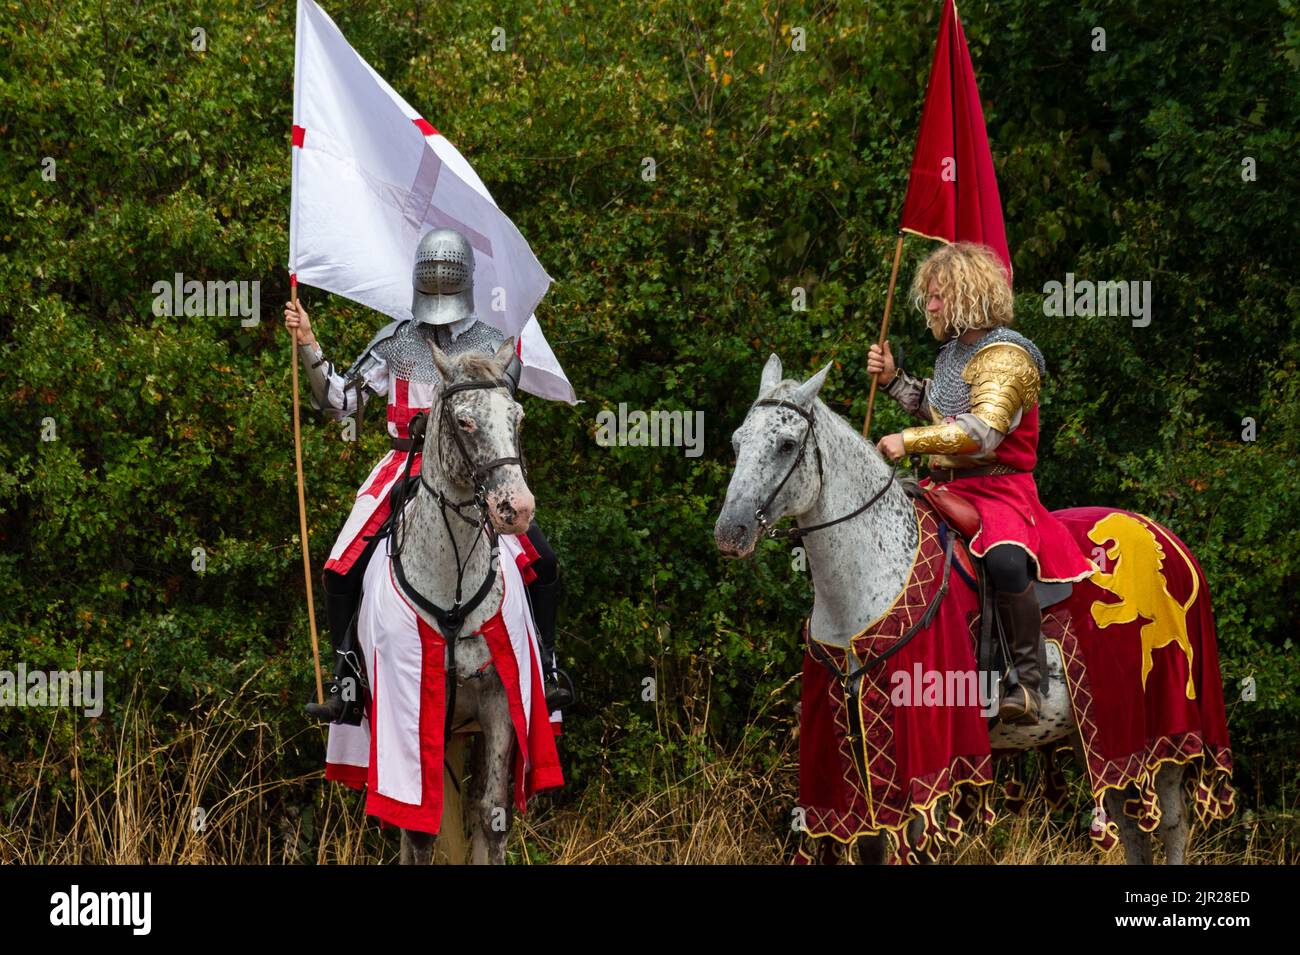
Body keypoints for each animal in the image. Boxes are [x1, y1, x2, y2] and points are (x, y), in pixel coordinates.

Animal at [379, 337, 533, 867]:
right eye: (464, 422)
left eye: (517, 418)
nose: (516, 509)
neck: (452, 595)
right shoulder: (410, 713)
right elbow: (419, 830)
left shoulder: (499, 701)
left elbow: (493, 814)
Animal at [712, 353, 1190, 867]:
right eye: (738, 442)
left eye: (786, 444)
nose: (731, 531)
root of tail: (1165, 537)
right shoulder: (855, 757)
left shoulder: (929, 757)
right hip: (1099, 737)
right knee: (1134, 831)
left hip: (1160, 730)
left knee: (1172, 826)